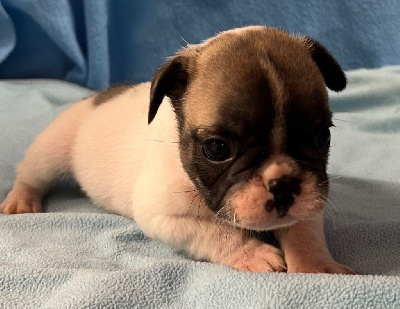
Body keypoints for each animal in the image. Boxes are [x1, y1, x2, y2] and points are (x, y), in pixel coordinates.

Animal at [1, 25, 354, 272]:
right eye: (216, 149)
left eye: (322, 137)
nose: (283, 184)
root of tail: (100, 95)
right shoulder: (165, 216)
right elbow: (216, 232)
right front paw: (252, 253)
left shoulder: (308, 200)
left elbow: (304, 229)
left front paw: (315, 265)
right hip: (51, 149)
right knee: (32, 173)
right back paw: (21, 200)